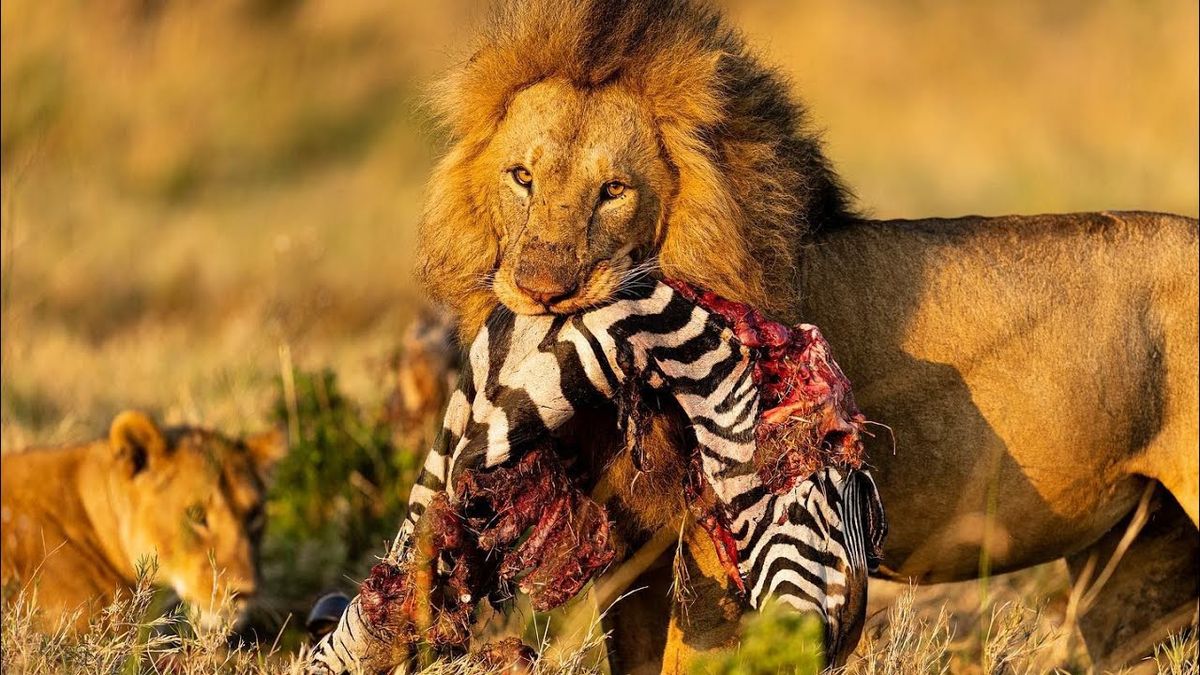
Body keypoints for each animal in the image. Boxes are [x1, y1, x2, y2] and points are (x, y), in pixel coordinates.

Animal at [413, 0, 1198, 670]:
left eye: (614, 190)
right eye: (521, 176)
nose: (544, 288)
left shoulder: (728, 538)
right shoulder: (636, 549)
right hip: (1138, 563)